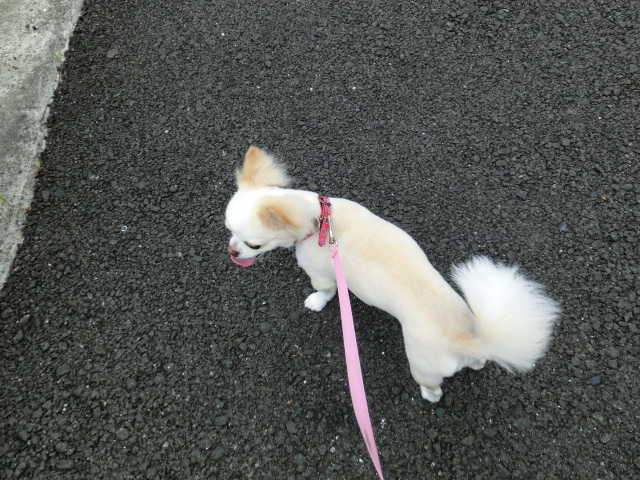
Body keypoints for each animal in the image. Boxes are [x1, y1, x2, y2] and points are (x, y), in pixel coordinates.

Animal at [225, 146, 560, 402]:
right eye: (228, 231)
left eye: (252, 244)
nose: (231, 252)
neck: (319, 220)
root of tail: (464, 339)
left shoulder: (320, 273)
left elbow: (324, 291)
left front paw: (315, 302)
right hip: (473, 343)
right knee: (478, 361)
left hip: (421, 364)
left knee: (433, 387)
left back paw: (428, 396)